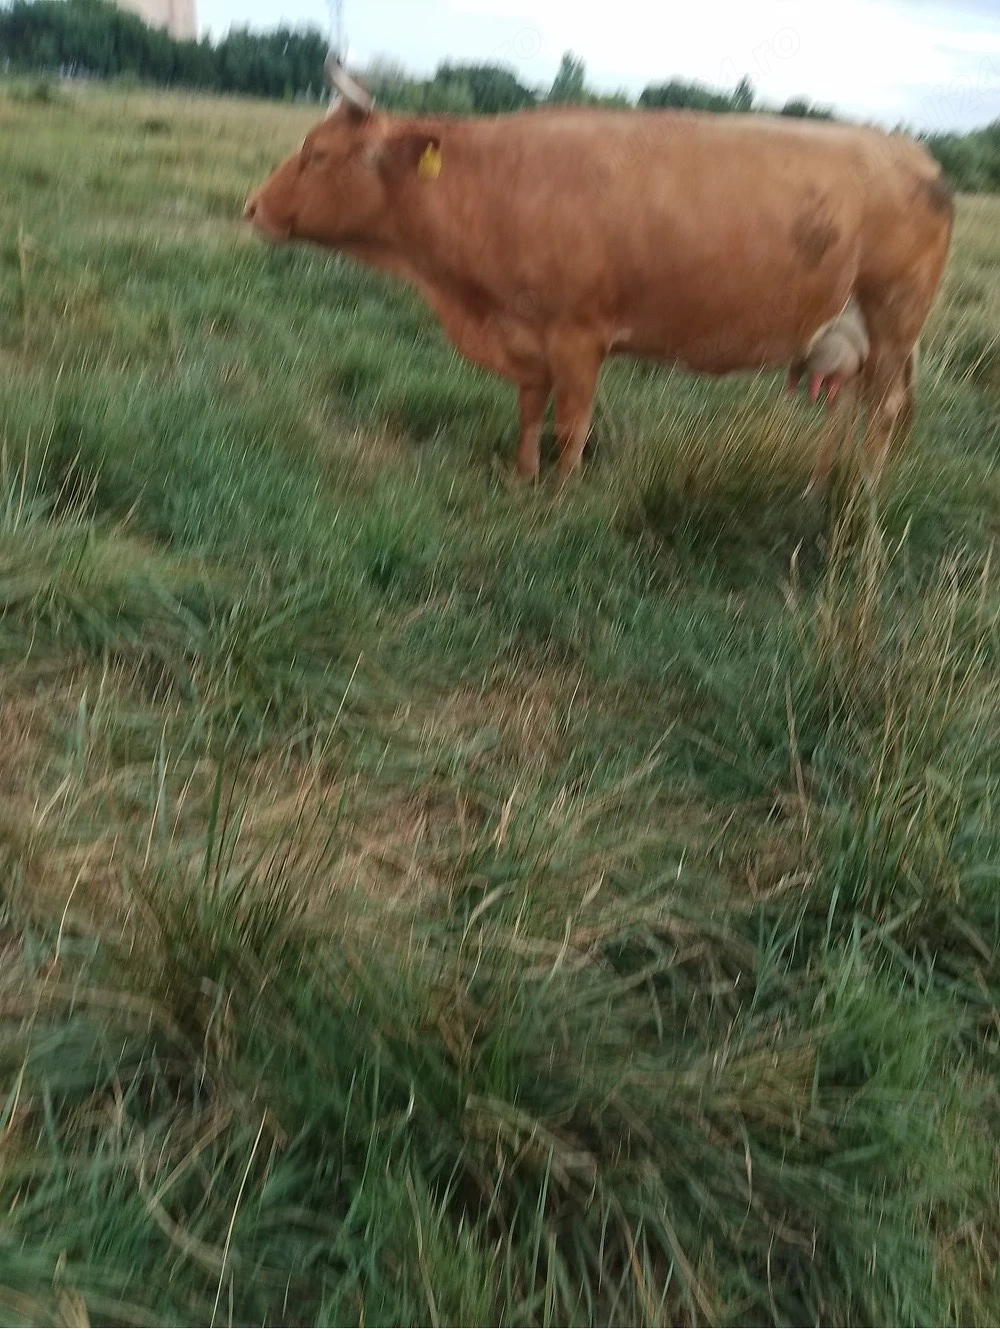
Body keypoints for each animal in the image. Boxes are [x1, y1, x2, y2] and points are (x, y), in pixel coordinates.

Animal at [244, 58, 953, 487]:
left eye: (318, 152)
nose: (252, 207)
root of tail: (914, 153)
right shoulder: (528, 334)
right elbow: (530, 410)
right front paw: (523, 477)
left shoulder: (578, 335)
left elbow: (572, 422)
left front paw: (561, 497)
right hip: (856, 333)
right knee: (852, 406)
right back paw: (822, 481)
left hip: (895, 318)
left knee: (883, 410)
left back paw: (860, 495)